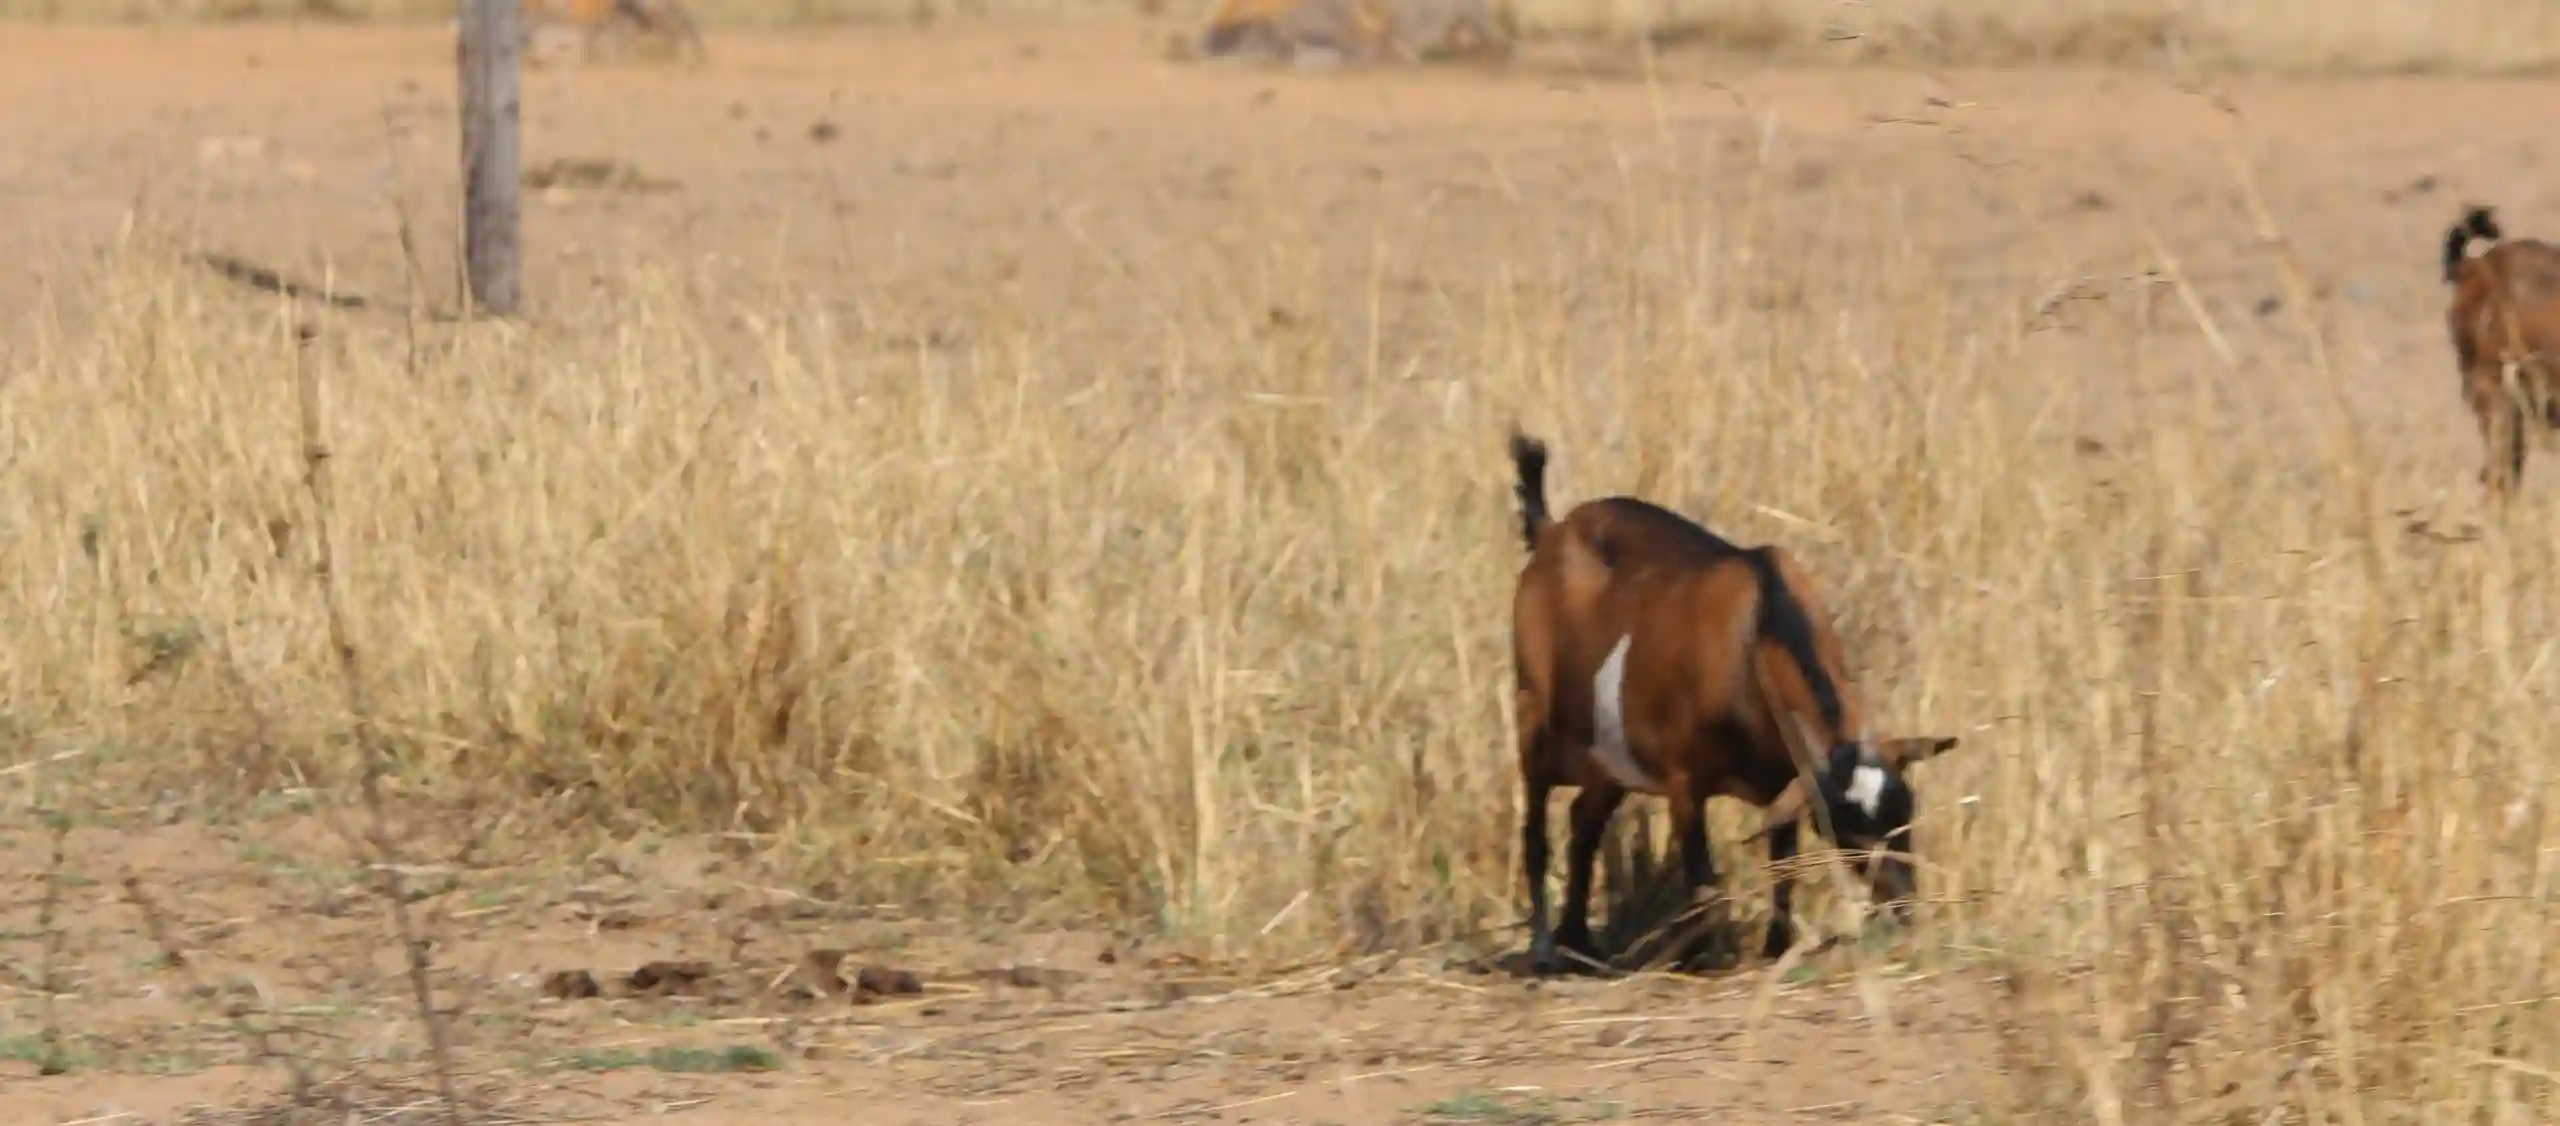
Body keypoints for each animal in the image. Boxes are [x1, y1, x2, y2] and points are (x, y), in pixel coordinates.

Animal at [1495, 432, 1955, 977]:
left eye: (1907, 811)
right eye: (1846, 827)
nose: (1905, 907)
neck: (1755, 628)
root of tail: (1551, 533)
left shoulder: (1785, 779)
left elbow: (1784, 867)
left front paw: (1776, 947)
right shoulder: (1684, 782)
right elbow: (1703, 881)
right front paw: (1702, 957)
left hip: (1608, 757)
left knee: (1583, 820)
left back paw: (1578, 942)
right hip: (1534, 716)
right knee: (1535, 830)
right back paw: (1547, 947)